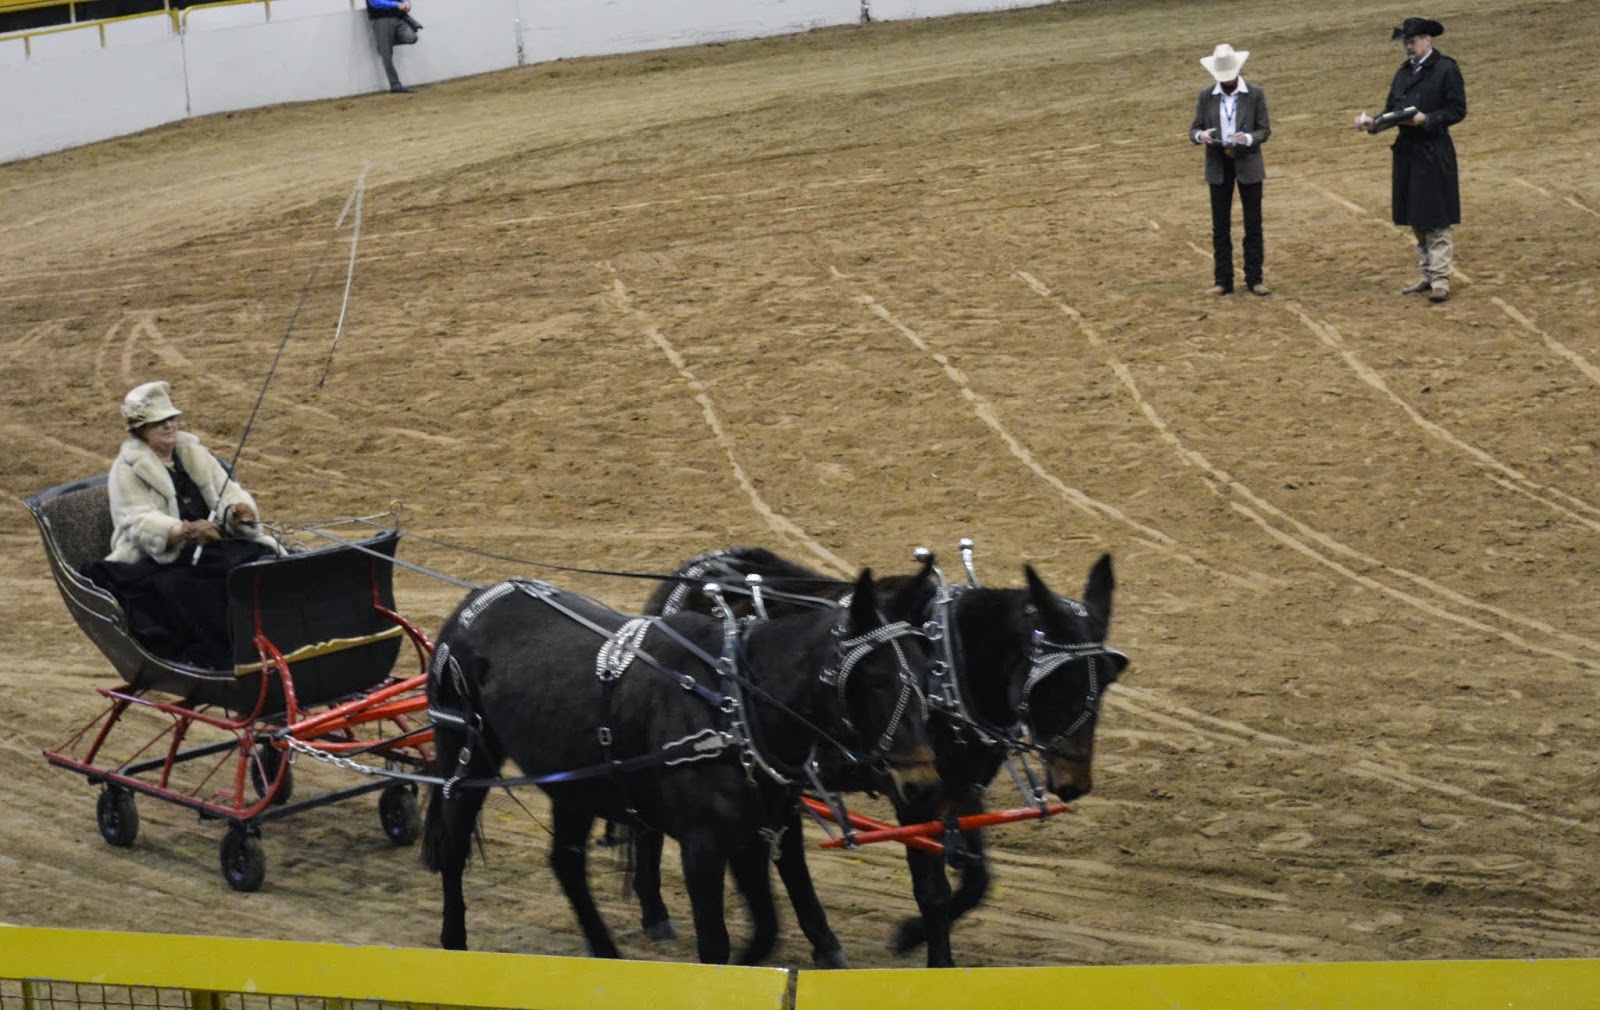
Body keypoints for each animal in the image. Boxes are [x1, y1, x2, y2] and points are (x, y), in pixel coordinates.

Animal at [420, 569, 939, 965]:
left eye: (925, 671)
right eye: (876, 679)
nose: (921, 784)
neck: (735, 707)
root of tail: (475, 600)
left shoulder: (758, 835)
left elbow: (767, 928)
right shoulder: (702, 847)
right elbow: (716, 944)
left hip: (575, 785)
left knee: (566, 863)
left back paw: (606, 953)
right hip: (465, 752)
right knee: (454, 846)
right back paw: (453, 942)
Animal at [631, 546, 1129, 967]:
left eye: (1105, 678)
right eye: (1055, 681)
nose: (1073, 783)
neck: (951, 665)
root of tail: (690, 572)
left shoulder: (960, 788)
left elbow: (976, 879)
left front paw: (910, 936)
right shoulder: (916, 794)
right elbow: (933, 890)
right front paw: (935, 959)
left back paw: (818, 943)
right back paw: (657, 911)